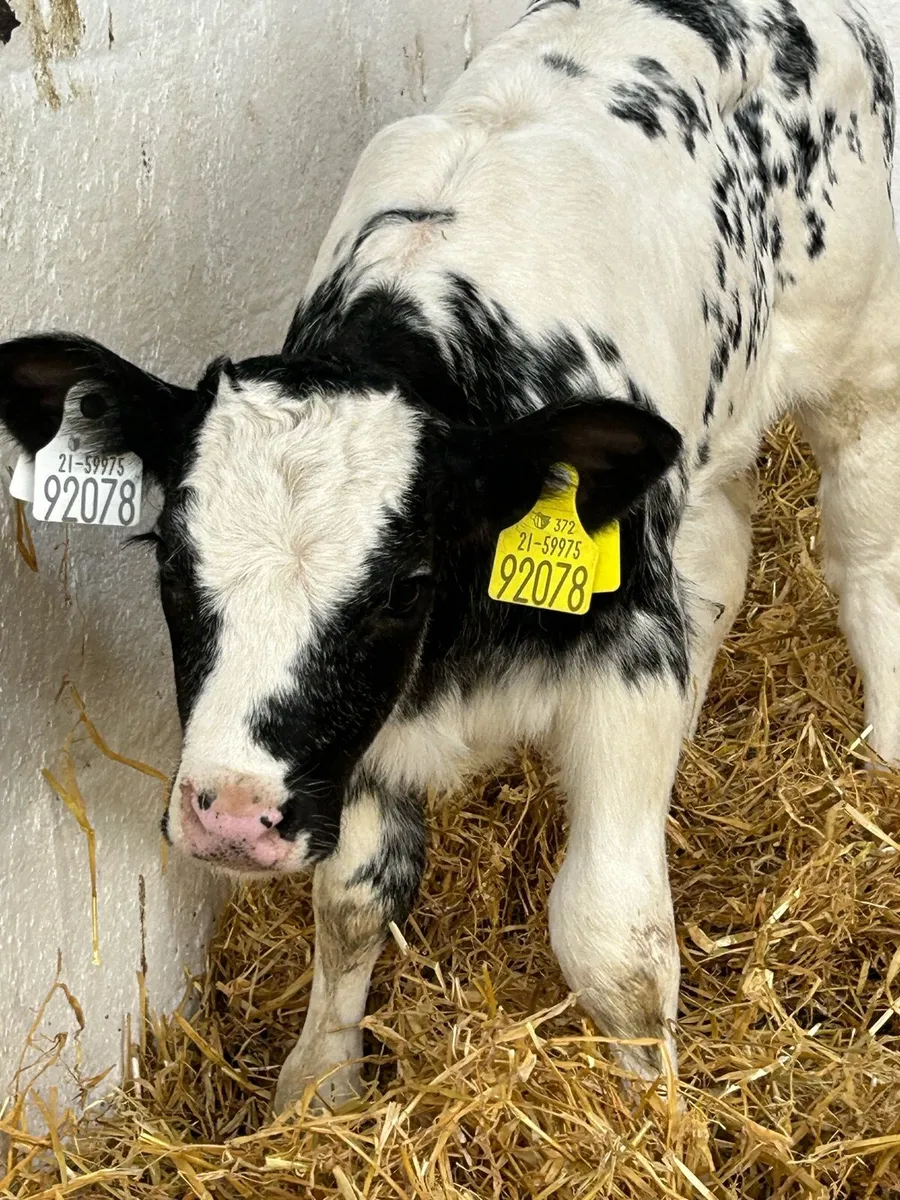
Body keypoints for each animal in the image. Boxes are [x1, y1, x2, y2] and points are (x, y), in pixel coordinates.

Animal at [1, 0, 897, 1115]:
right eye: (167, 557)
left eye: (403, 586)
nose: (231, 816)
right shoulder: (364, 724)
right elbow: (353, 898)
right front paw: (317, 1085)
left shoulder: (625, 652)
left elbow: (613, 939)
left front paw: (656, 1117)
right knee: (724, 554)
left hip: (864, 369)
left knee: (866, 558)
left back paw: (886, 753)